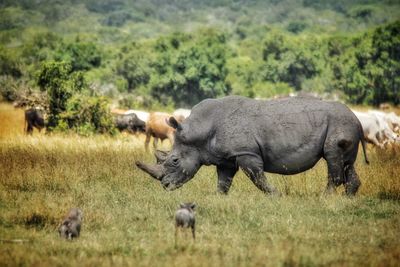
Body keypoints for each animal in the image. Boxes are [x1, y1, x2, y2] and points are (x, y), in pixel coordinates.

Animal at [138, 96, 368, 197]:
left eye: (174, 160)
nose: (165, 186)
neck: (199, 130)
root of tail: (357, 119)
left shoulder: (246, 153)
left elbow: (257, 177)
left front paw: (275, 195)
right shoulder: (226, 157)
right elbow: (223, 181)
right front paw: (219, 198)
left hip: (340, 123)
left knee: (332, 157)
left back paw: (324, 198)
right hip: (344, 124)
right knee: (346, 162)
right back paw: (347, 199)